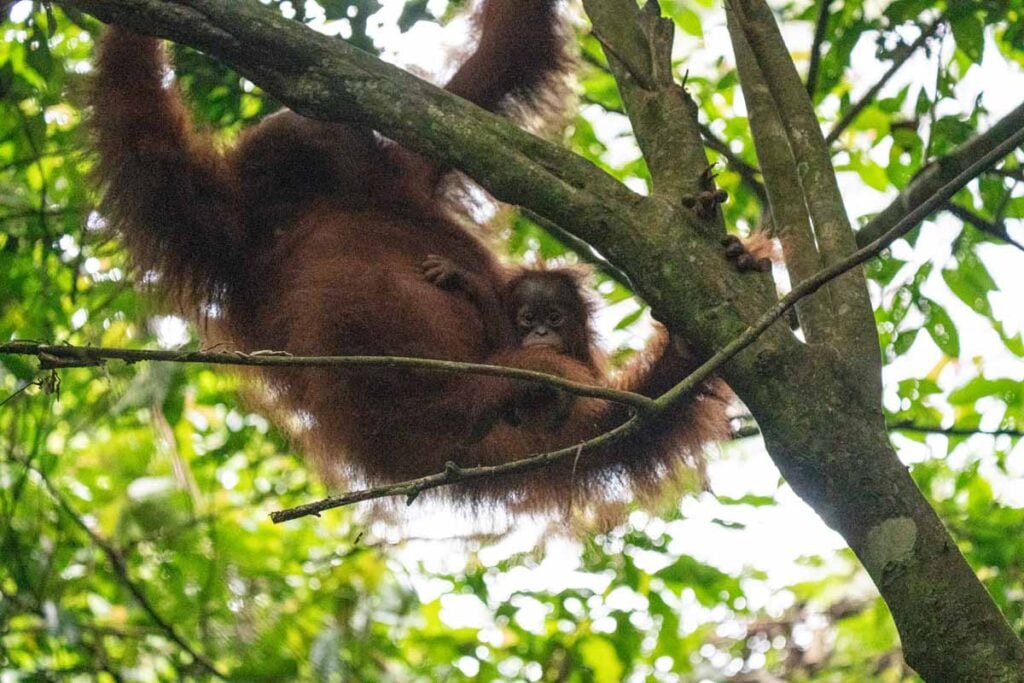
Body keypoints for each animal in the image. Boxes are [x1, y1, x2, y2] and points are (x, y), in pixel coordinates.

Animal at [90, 0, 734, 517]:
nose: (295, 127)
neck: (321, 200)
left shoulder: (410, 165)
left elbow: (504, 56)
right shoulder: (222, 228)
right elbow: (144, 139)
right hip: (421, 422)